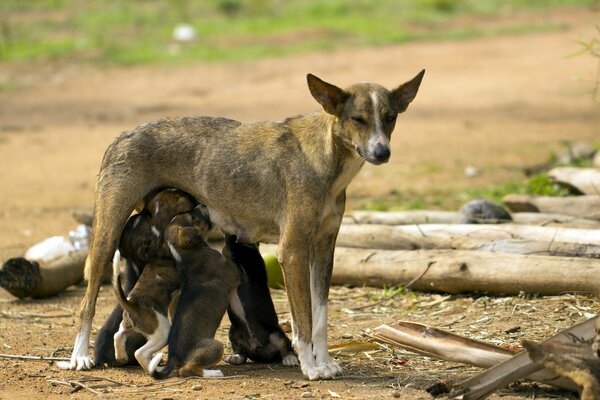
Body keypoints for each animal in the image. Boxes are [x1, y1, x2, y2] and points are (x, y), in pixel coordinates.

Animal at [150, 206, 239, 378]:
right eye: (192, 217)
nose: (201, 205)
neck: (183, 254)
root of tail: (172, 355)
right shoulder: (233, 273)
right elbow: (226, 250)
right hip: (215, 346)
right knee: (187, 370)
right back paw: (214, 373)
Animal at [223, 236, 298, 368]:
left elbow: (231, 241)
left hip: (276, 335)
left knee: (286, 348)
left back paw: (289, 359)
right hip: (233, 332)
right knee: (242, 354)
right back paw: (235, 357)